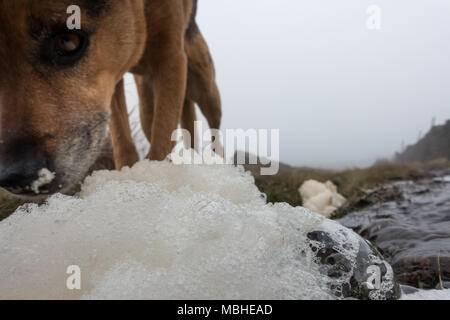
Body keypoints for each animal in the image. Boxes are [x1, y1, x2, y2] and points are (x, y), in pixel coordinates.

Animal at [0, 0, 220, 196]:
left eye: (68, 41)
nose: (16, 177)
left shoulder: (171, 59)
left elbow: (162, 140)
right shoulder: (111, 77)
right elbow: (123, 141)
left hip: (205, 87)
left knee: (214, 125)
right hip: (146, 107)